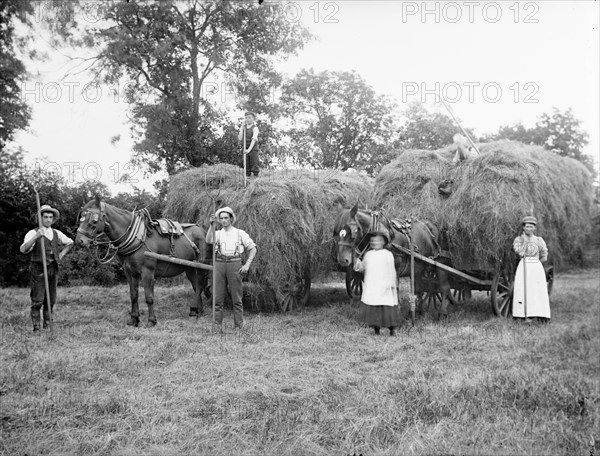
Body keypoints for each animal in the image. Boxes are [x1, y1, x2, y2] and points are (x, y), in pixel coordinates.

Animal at [75, 198, 209, 326]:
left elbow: (149, 297)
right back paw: (197, 310)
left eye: (93, 220)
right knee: (196, 286)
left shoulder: (147, 272)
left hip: (201, 265)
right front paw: (134, 319)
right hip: (189, 267)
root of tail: (203, 231)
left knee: (200, 286)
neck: (136, 238)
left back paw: (196, 309)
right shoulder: (130, 272)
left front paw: (151, 320)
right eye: (81, 218)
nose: (79, 241)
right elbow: (133, 295)